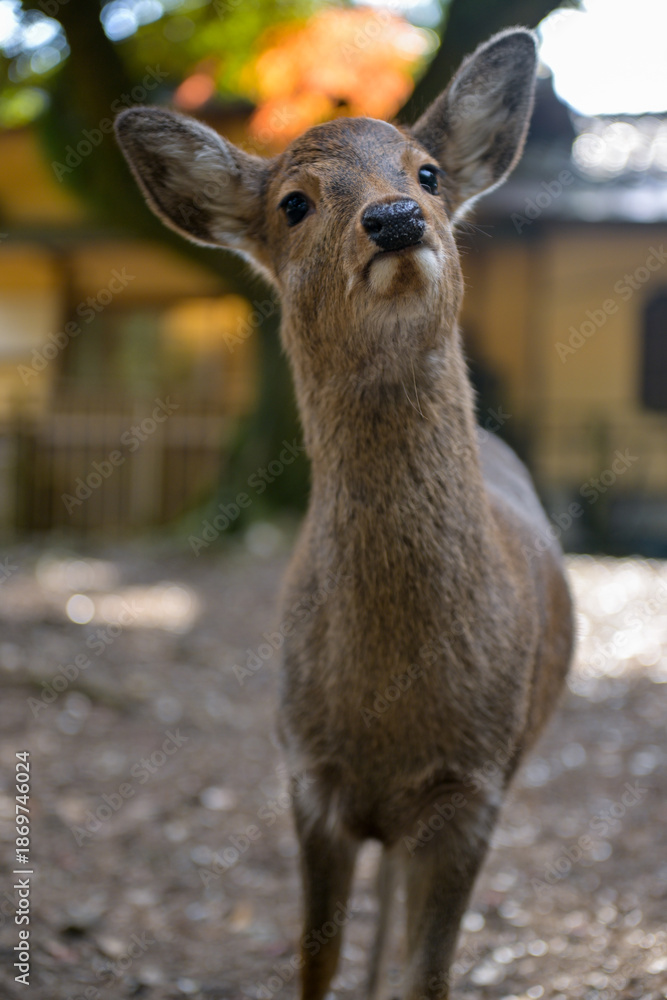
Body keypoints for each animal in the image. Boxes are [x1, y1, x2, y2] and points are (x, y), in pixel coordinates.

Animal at [115, 27, 574, 1000]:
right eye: (293, 202)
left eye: (427, 171)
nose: (395, 217)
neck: (391, 705)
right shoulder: (307, 773)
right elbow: (312, 964)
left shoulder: (472, 787)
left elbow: (428, 974)